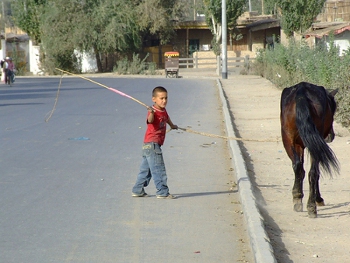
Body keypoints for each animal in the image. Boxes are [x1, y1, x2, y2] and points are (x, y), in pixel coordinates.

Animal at [278, 82, 340, 219]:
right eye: (333, 110)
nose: (331, 136)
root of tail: (301, 91)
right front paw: (318, 199)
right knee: (312, 172)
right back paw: (311, 205)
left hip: (288, 139)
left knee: (300, 168)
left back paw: (301, 201)